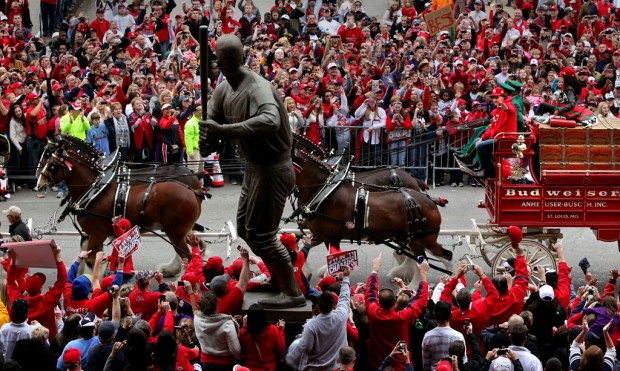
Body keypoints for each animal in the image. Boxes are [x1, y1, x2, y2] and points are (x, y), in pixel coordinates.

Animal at [36, 137, 203, 276]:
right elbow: (85, 254)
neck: (95, 188)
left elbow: (92, 260)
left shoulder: (97, 233)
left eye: (51, 162)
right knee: (196, 246)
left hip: (175, 232)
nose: (38, 182)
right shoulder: (90, 233)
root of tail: (193, 188)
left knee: (187, 255)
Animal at [294, 149, 452, 288]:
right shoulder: (320, 234)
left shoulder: (331, 237)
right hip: (416, 239)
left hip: (420, 239)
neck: (325, 192)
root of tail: (430, 201)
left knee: (431, 258)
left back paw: (416, 285)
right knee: (438, 255)